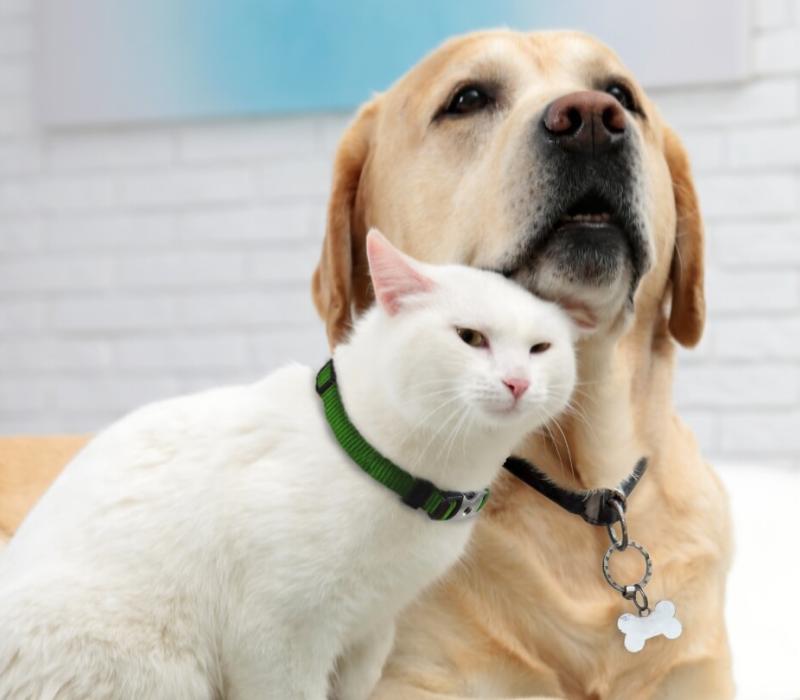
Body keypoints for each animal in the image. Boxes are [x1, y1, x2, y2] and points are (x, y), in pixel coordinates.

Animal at [0, 231, 576, 700]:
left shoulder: (370, 631)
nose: (518, 382)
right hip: (159, 667)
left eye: (540, 348)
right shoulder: (276, 638)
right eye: (470, 337)